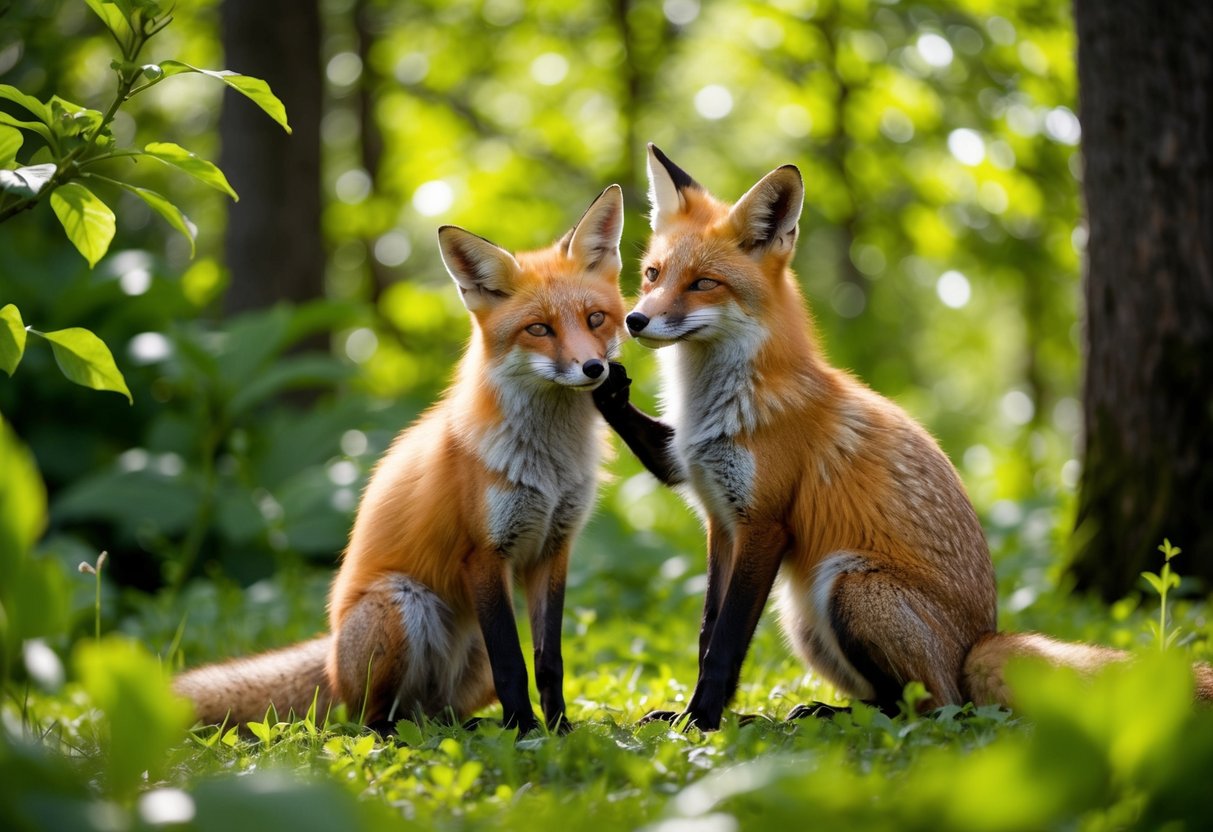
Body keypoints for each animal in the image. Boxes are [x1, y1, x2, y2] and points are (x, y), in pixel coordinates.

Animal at [174, 185, 628, 733]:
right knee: (368, 718)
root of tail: (332, 658)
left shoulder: (553, 549)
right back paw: (399, 733)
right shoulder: (483, 554)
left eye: (595, 318)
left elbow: (548, 661)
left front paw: (559, 729)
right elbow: (513, 665)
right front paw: (524, 731)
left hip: (463, 658)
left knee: (436, 710)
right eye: (539, 329)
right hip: (403, 602)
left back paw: (465, 727)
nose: (593, 367)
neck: (549, 466)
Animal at [592, 144, 1213, 730]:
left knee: (937, 708)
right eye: (651, 275)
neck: (716, 408)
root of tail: (978, 641)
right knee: (903, 703)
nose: (636, 321)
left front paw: (701, 723)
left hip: (847, 585)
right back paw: (804, 713)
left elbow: (724, 645)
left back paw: (818, 715)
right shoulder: (716, 516)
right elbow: (705, 634)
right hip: (802, 614)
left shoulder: (764, 523)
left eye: (703, 284)